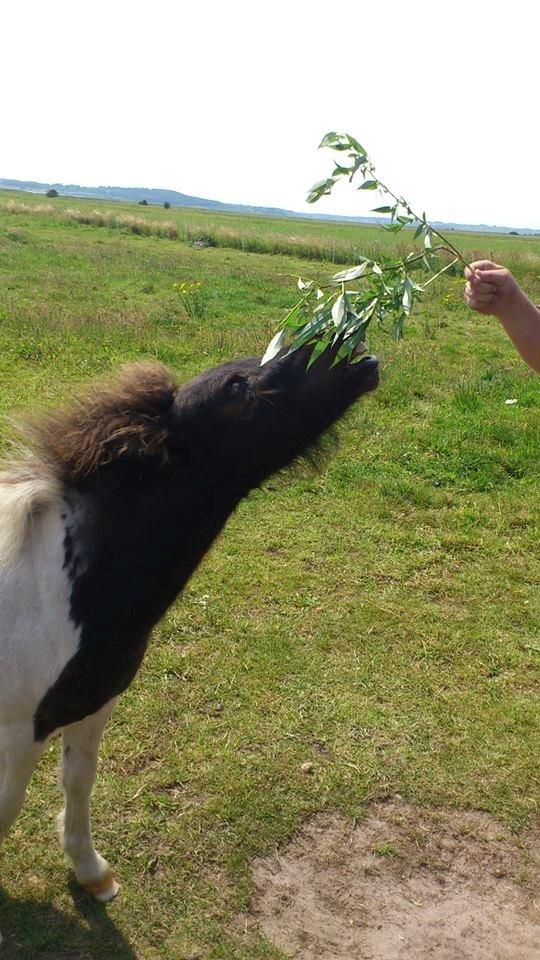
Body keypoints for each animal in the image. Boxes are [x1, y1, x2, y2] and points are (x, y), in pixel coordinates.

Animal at [0, 344, 380, 928]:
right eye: (236, 388)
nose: (356, 352)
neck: (60, 586)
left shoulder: (94, 701)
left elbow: (79, 780)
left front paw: (92, 872)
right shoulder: (20, 728)